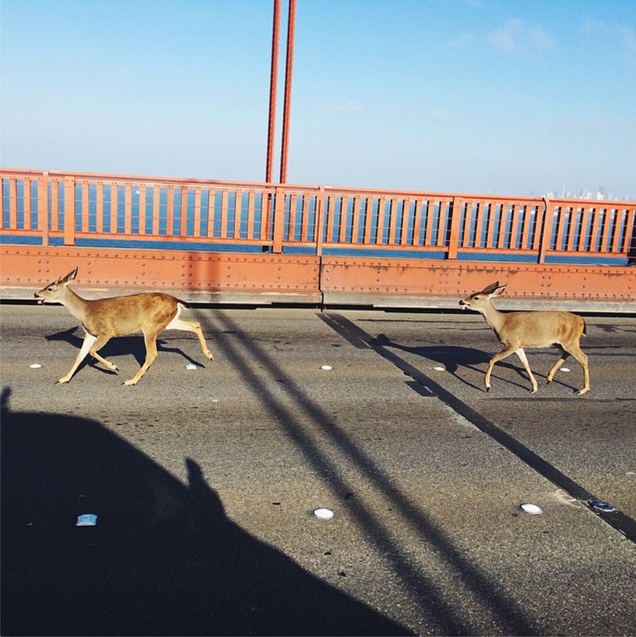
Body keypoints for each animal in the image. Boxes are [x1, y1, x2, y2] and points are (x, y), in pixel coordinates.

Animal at [34, 268, 214, 386]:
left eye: (50, 288)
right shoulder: (90, 333)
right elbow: (80, 355)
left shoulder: (106, 331)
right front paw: (63, 378)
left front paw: (113, 367)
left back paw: (131, 380)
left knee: (152, 354)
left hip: (150, 326)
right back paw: (209, 356)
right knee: (195, 324)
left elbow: (91, 352)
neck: (85, 311)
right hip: (168, 321)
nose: (36, 294)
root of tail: (176, 300)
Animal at [458, 282, 592, 396]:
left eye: (476, 297)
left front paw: (487, 386)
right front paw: (534, 387)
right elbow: (525, 363)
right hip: (561, 342)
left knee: (583, 357)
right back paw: (549, 378)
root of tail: (581, 320)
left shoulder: (511, 343)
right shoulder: (518, 345)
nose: (460, 301)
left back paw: (582, 390)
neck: (501, 323)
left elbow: (492, 359)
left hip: (571, 340)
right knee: (566, 353)